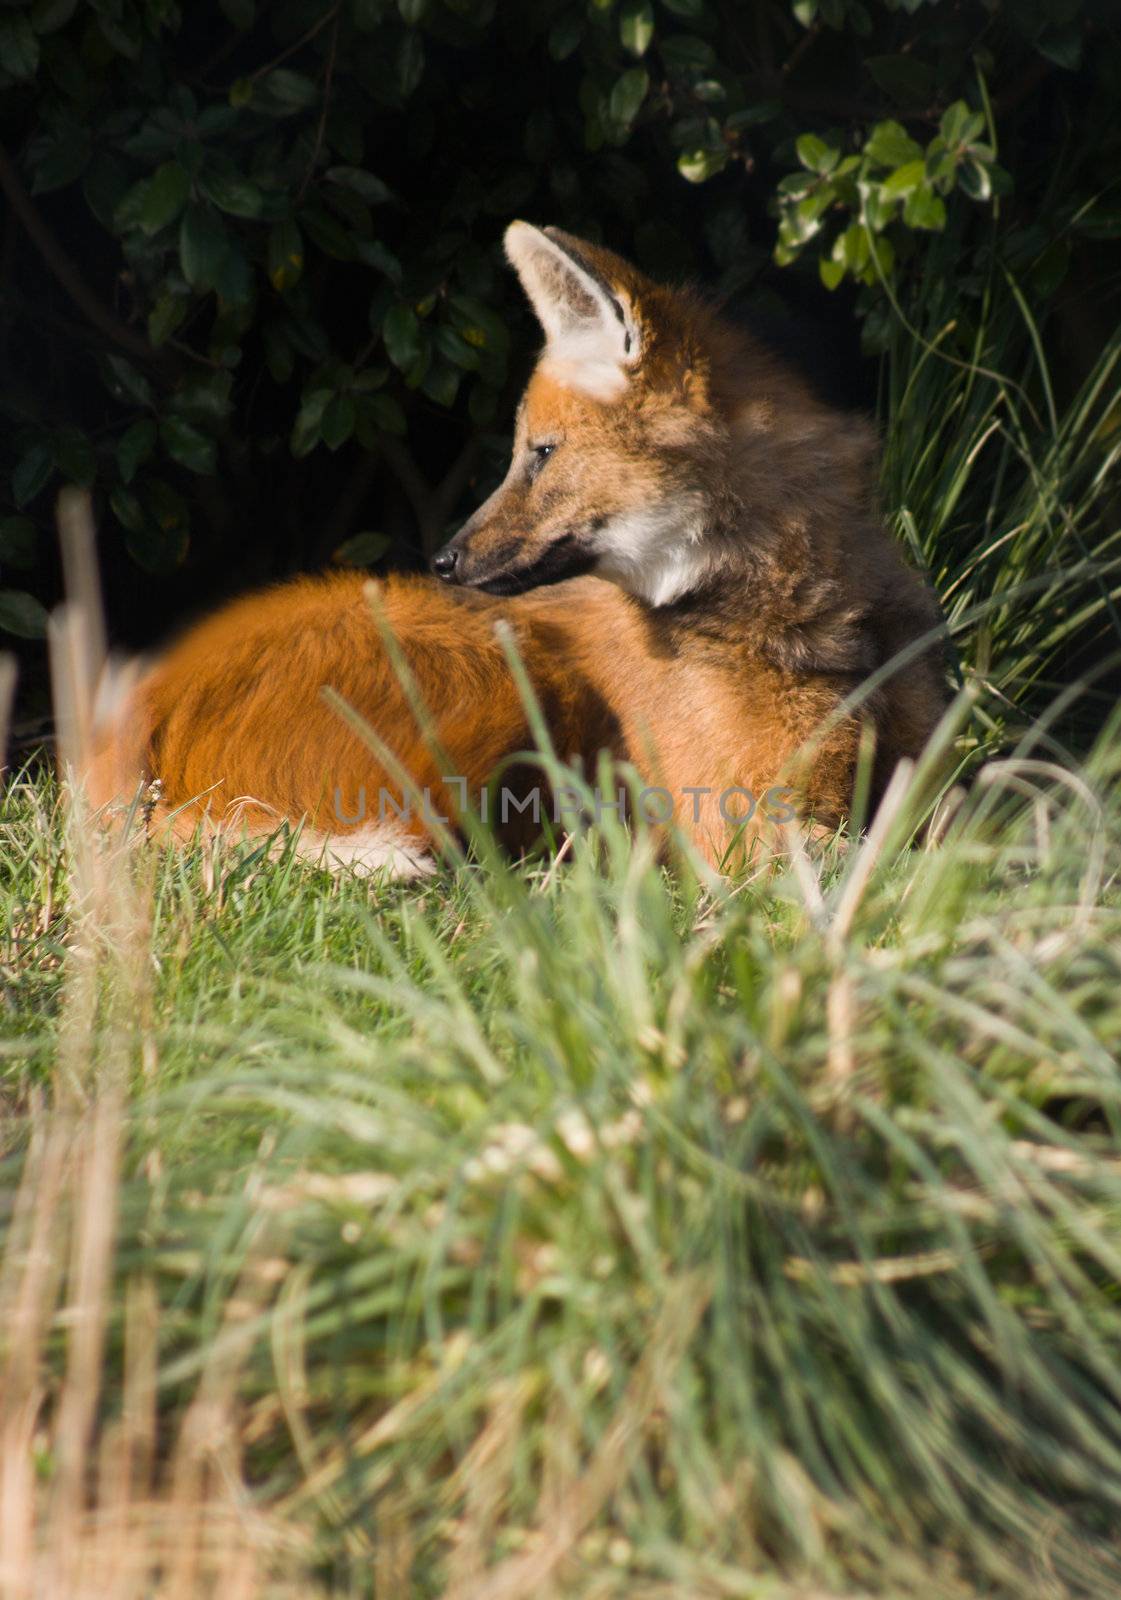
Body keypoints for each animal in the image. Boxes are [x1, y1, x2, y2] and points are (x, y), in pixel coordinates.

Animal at [85, 222, 946, 876]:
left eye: (540, 454)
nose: (445, 561)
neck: (805, 620)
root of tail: (142, 702)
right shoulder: (739, 822)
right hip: (498, 668)